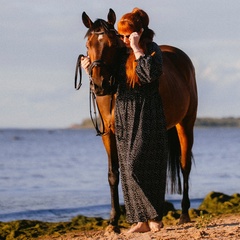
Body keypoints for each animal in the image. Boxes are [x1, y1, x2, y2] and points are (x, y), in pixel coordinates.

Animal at [76, 8, 197, 231]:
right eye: (88, 45)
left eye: (112, 44)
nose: (100, 85)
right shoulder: (108, 134)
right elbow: (113, 175)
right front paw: (113, 222)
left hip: (186, 124)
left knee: (185, 166)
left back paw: (183, 214)